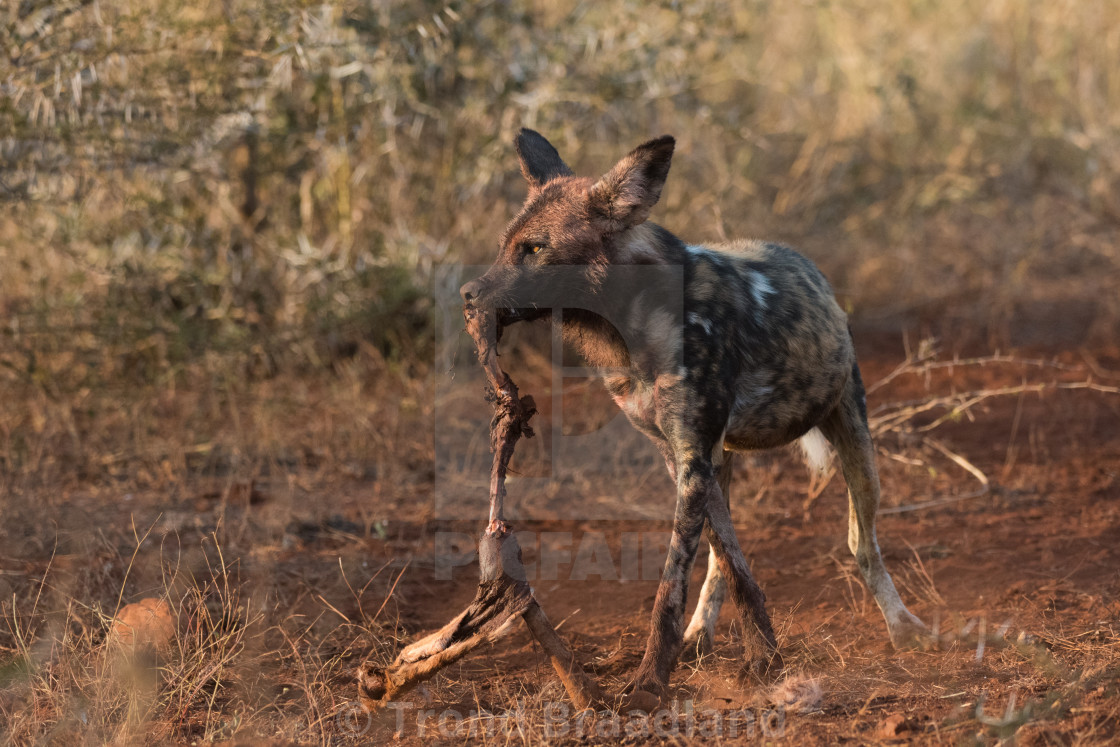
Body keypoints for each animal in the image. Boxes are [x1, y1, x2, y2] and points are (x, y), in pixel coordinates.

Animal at [456, 129, 927, 703]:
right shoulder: (680, 455)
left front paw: (651, 682)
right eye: (506, 245)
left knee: (864, 544)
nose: (469, 295)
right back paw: (703, 634)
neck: (634, 322)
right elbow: (730, 562)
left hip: (855, 445)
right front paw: (762, 655)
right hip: (721, 461)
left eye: (536, 249)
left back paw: (902, 627)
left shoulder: (690, 459)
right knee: (723, 557)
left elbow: (670, 586)